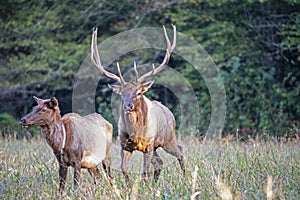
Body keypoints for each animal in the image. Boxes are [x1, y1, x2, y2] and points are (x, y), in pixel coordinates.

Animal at [91, 25, 185, 183]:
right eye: (122, 93)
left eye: (139, 92)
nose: (128, 106)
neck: (136, 133)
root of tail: (169, 112)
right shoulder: (124, 144)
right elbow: (124, 169)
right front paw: (129, 186)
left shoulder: (148, 144)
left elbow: (144, 172)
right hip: (157, 146)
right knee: (159, 162)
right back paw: (156, 183)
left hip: (168, 138)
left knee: (180, 152)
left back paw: (186, 176)